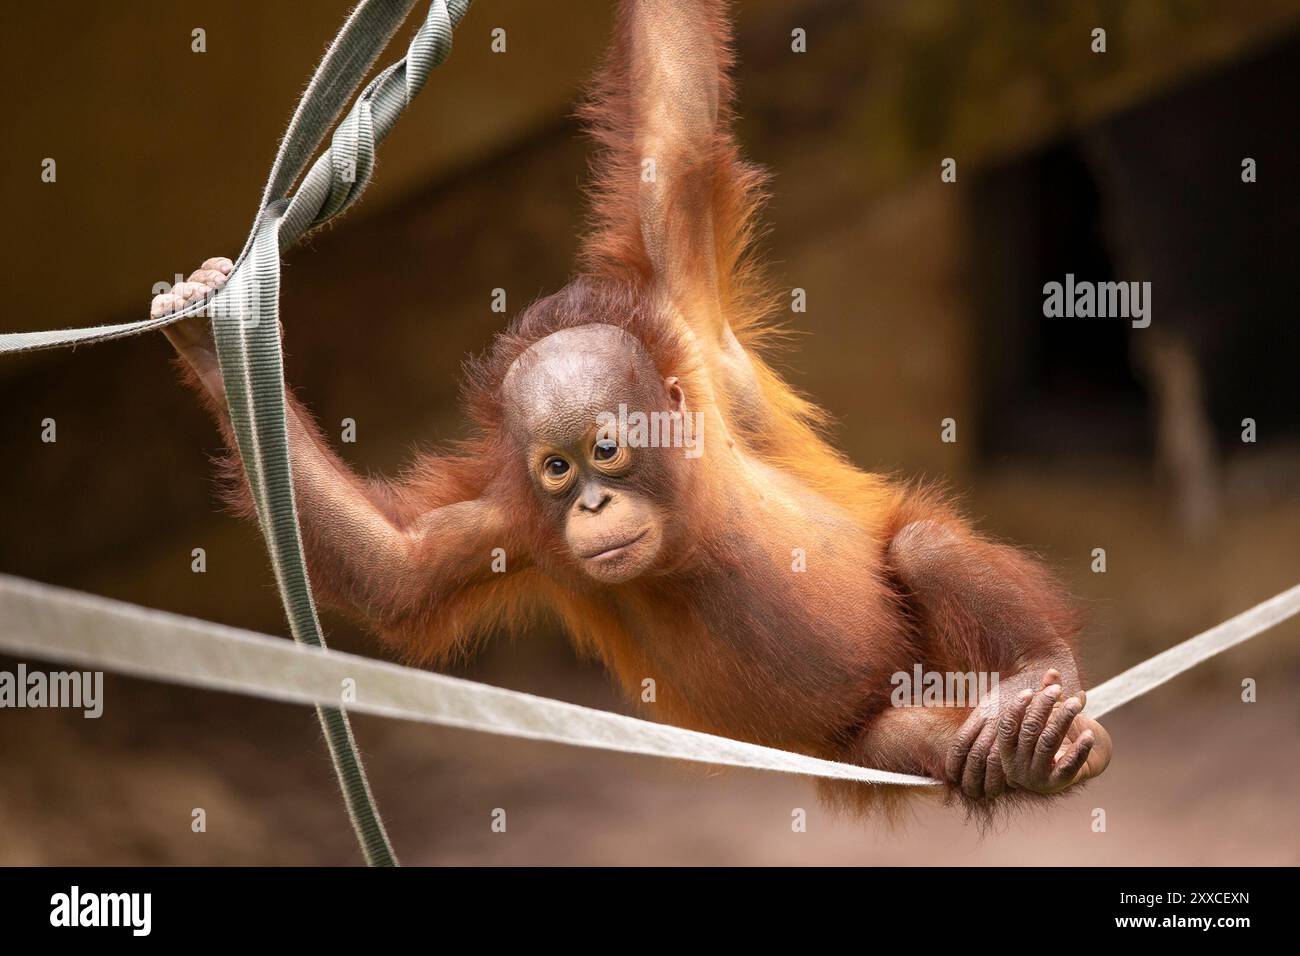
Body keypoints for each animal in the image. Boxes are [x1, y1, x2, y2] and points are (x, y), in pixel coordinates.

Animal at [151, 0, 1110, 813]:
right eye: (556, 468)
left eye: (605, 450)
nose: (591, 504)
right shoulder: (509, 523)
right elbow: (397, 565)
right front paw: (207, 330)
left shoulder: (692, 337)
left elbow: (671, 144)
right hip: (862, 735)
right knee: (903, 740)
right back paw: (1013, 751)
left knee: (921, 545)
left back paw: (1042, 693)